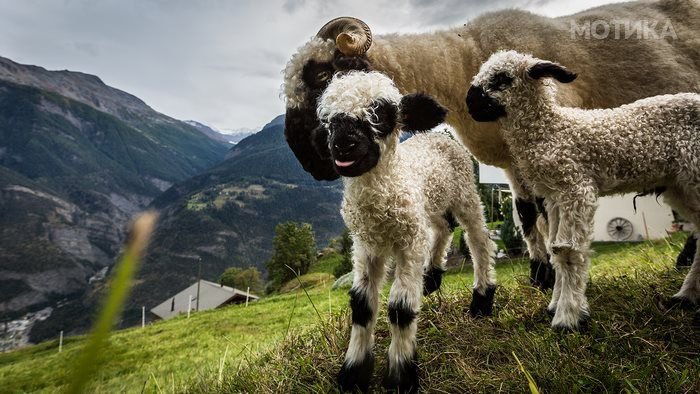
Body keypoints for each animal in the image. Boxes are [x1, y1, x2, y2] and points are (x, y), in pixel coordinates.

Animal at [282, 0, 700, 290]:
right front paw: (540, 273)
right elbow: (527, 214)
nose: (307, 159)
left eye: (321, 74)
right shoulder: (512, 160)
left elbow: (546, 212)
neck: (460, 63)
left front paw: (555, 272)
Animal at [318, 71, 498, 394]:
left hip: (464, 192)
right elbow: (362, 306)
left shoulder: (409, 242)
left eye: (380, 114)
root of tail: (436, 134)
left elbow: (400, 309)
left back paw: (482, 297)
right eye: (330, 121)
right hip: (428, 204)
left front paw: (401, 375)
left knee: (478, 238)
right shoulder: (366, 246)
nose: (343, 145)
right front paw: (353, 373)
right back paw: (432, 276)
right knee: (443, 227)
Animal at [464, 50, 700, 332]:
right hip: (679, 185)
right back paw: (686, 296)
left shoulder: (576, 187)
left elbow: (567, 251)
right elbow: (554, 250)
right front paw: (554, 305)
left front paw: (568, 318)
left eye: (502, 79)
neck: (552, 130)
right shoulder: (553, 197)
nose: (469, 103)